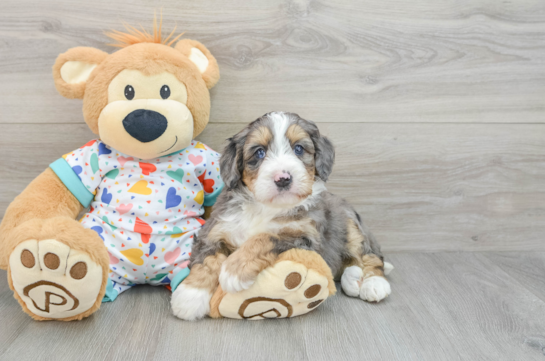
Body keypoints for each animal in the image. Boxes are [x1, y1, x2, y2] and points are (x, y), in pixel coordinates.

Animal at [172, 111, 388, 320]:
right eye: (259, 152)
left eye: (299, 149)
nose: (283, 178)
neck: (265, 207)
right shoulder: (215, 229)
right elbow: (207, 261)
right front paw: (189, 297)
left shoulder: (305, 238)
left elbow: (265, 237)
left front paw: (234, 271)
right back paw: (353, 278)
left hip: (351, 223)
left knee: (371, 256)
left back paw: (374, 284)